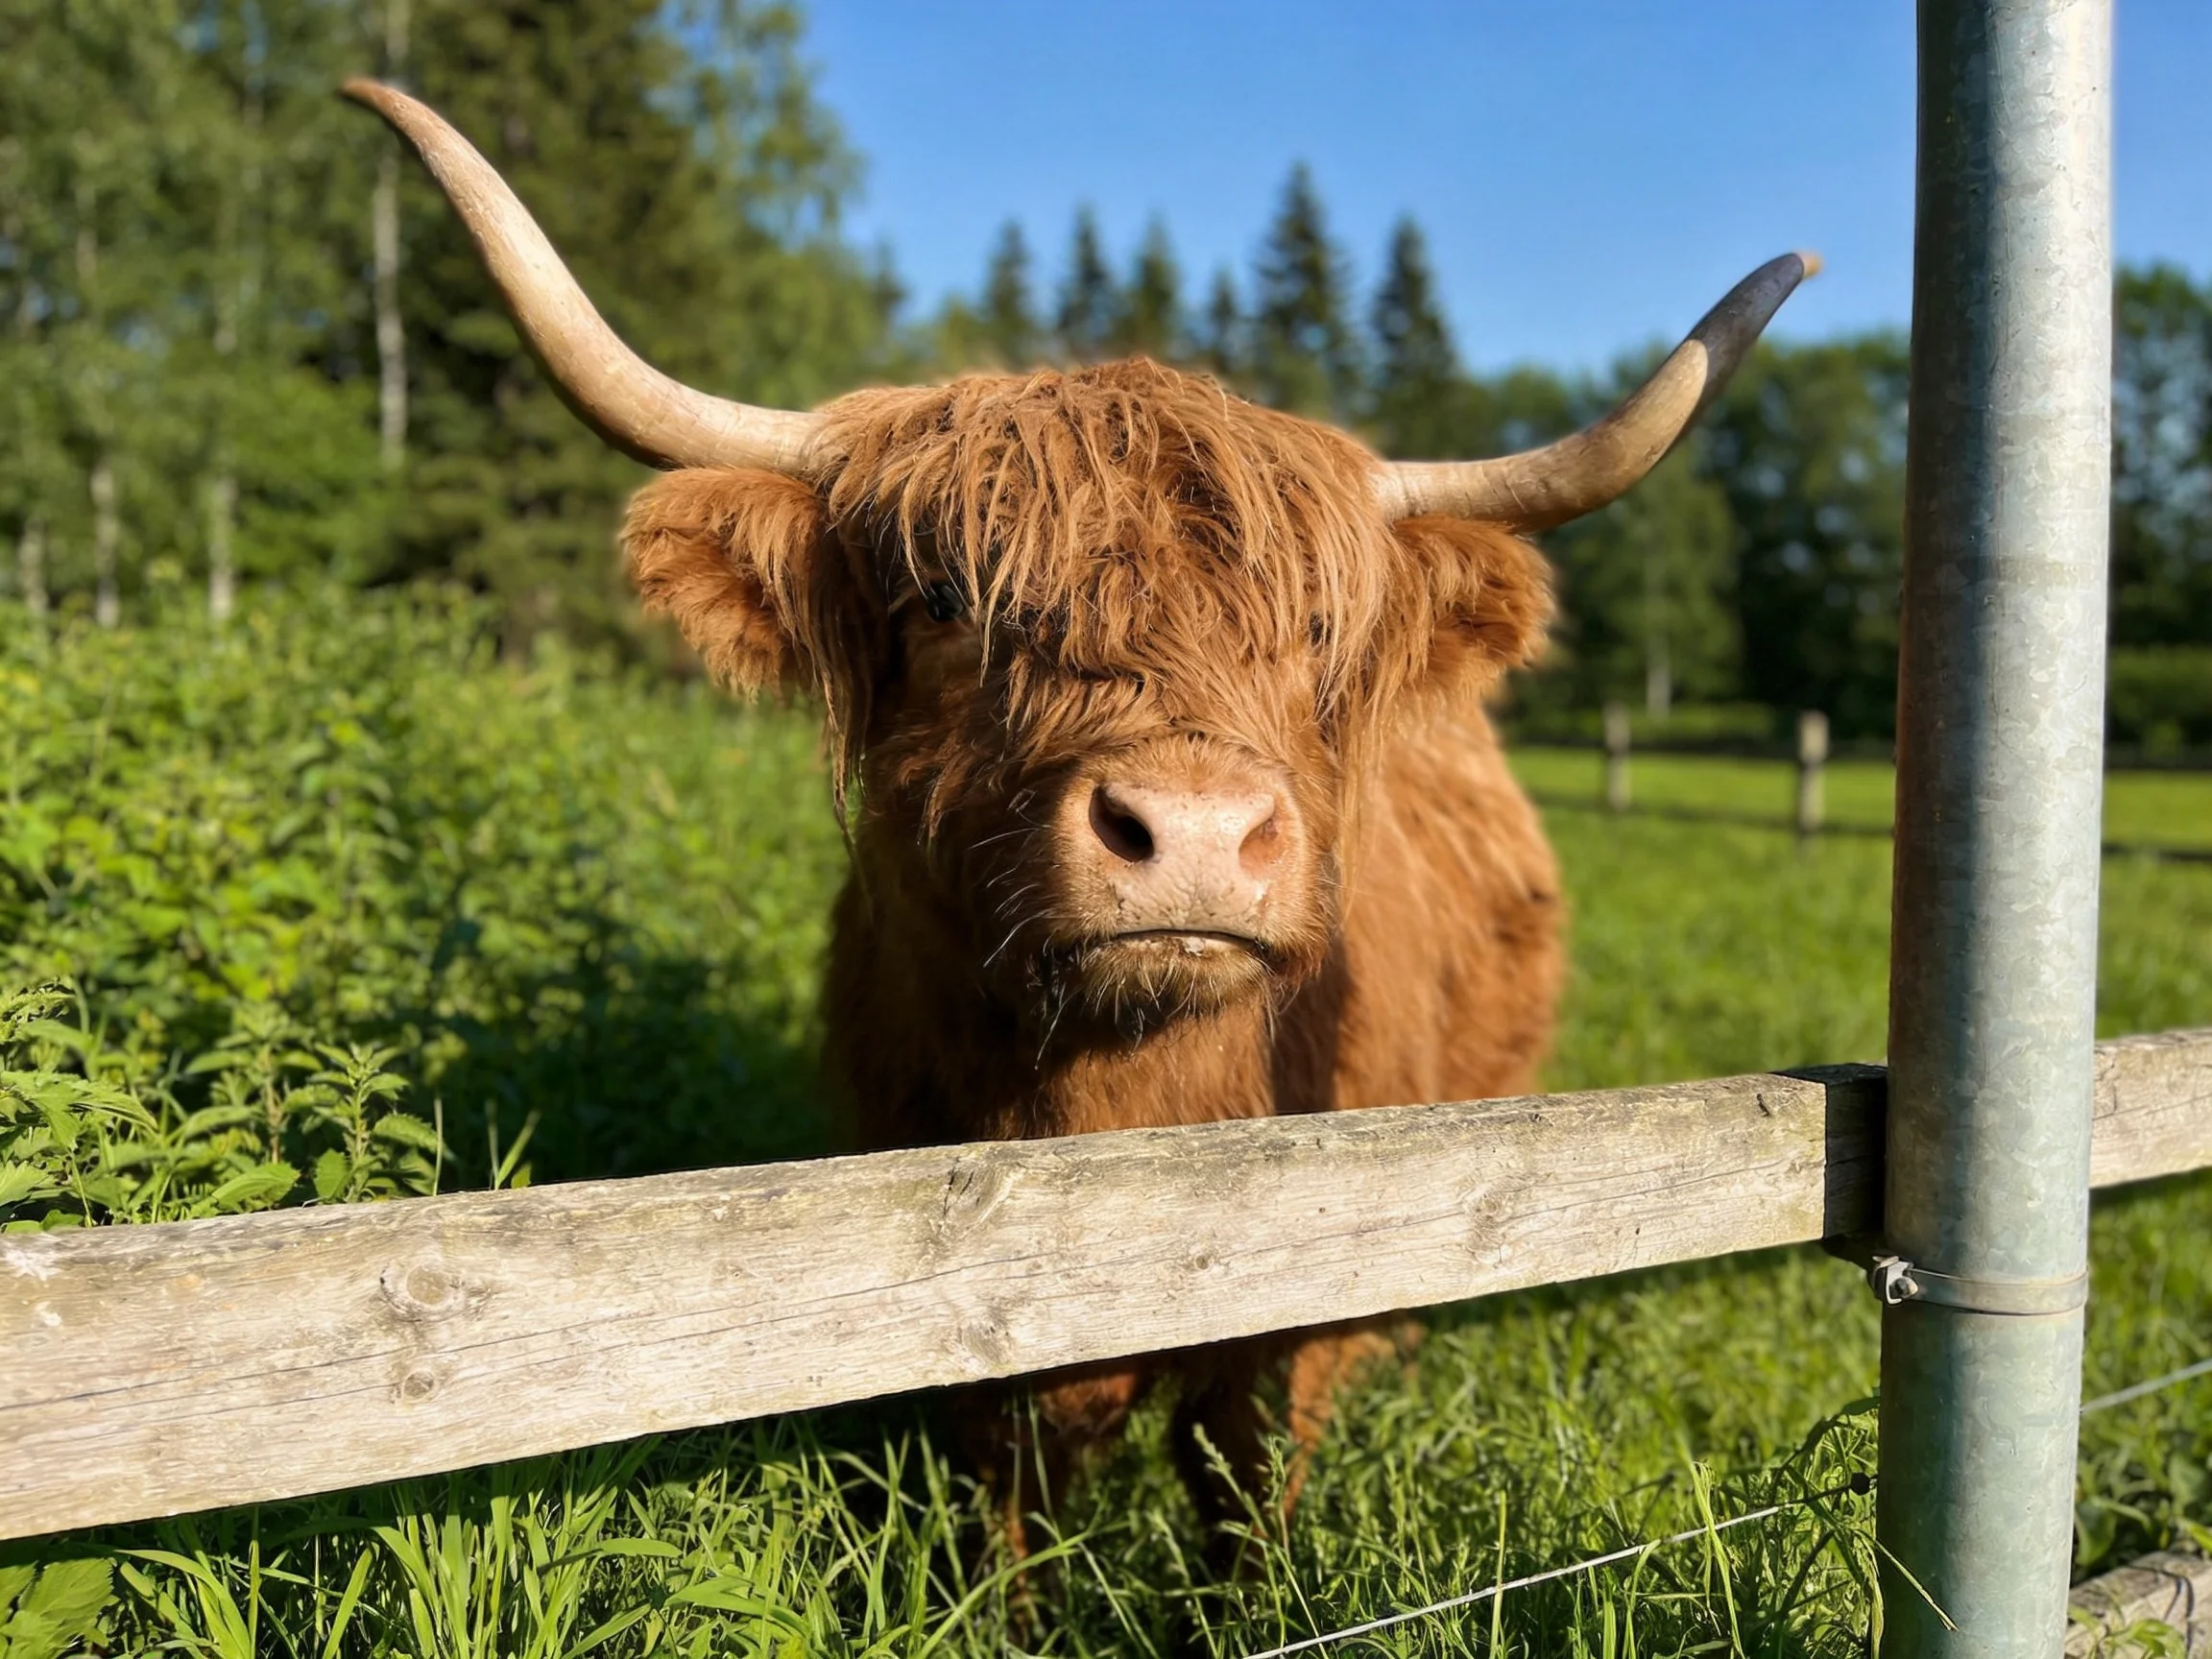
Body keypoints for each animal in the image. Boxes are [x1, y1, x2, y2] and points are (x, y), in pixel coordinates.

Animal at [348, 79, 1813, 1554]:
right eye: (945, 601)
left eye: (1318, 629)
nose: (1196, 831)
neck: (1120, 1113)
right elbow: (1013, 1504)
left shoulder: (1314, 1291)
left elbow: (1248, 1491)